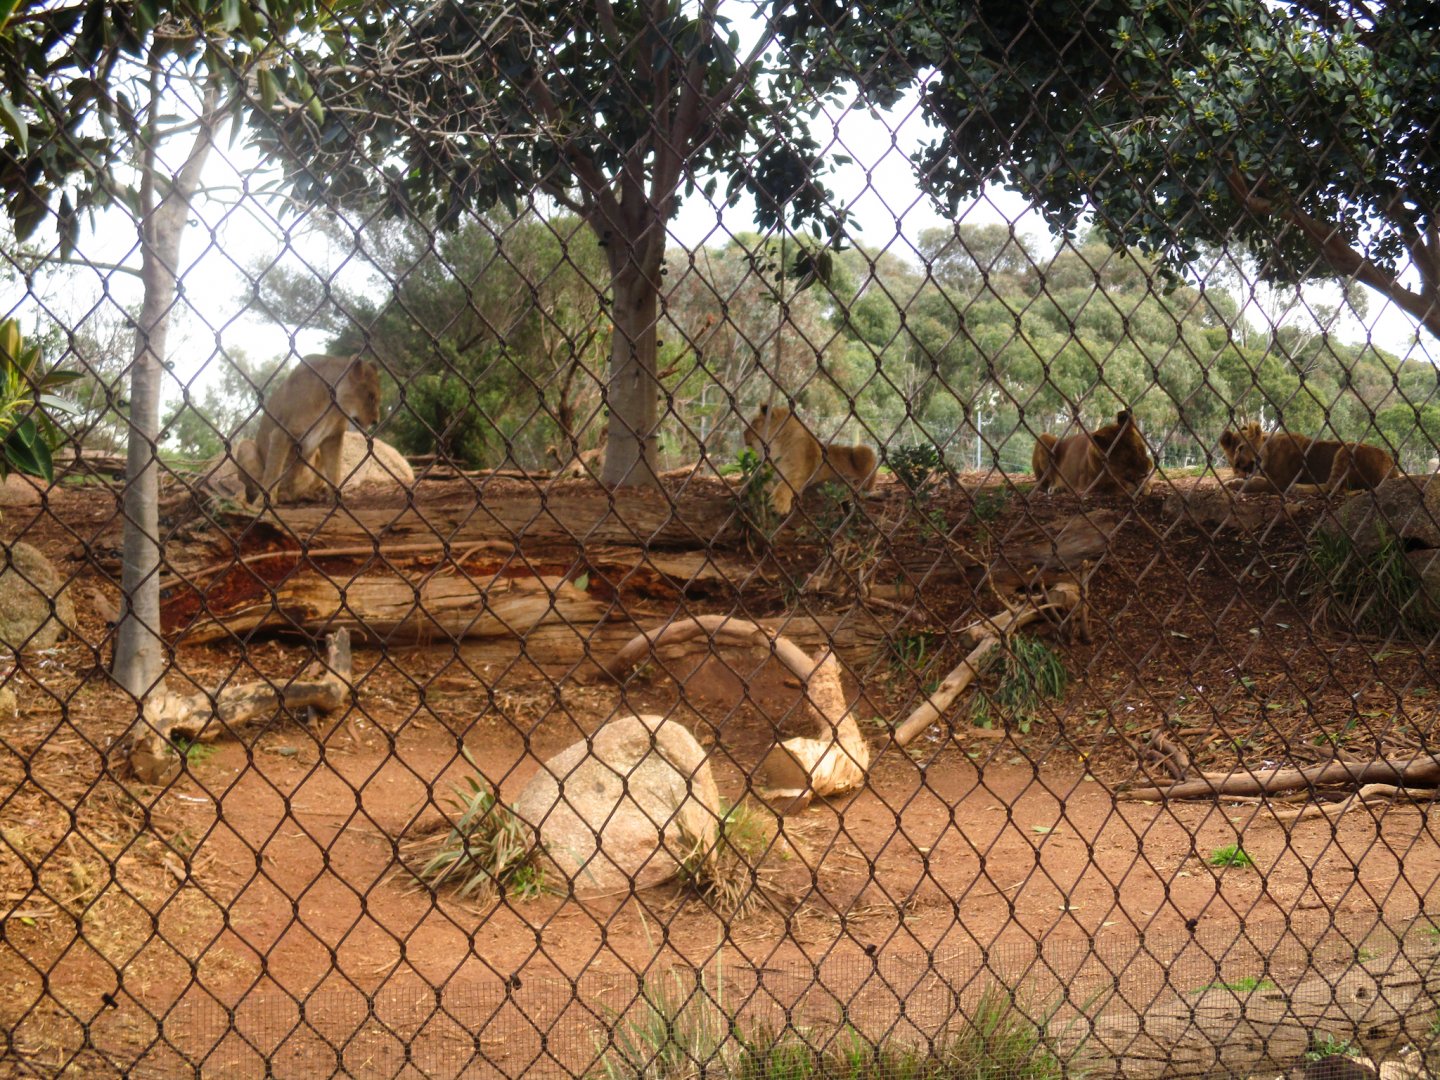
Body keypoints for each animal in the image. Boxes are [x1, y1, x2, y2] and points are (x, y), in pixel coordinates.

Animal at [234, 354, 383, 505]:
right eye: (371, 396)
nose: (376, 421)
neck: (330, 411)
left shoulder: (332, 437)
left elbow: (334, 469)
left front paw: (338, 498)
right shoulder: (281, 432)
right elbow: (273, 472)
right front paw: (263, 501)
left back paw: (312, 495)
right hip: (246, 446)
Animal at [742, 404, 877, 514]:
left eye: (753, 423)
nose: (743, 434)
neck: (775, 447)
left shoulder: (802, 471)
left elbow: (786, 483)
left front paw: (779, 503)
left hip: (864, 450)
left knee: (869, 484)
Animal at [1218, 422, 1396, 494]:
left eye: (1241, 448)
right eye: (1230, 456)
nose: (1237, 465)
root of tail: (1393, 470)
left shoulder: (1280, 482)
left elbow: (1254, 483)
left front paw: (1233, 484)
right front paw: (1230, 480)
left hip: (1347, 449)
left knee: (1332, 487)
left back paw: (1298, 488)